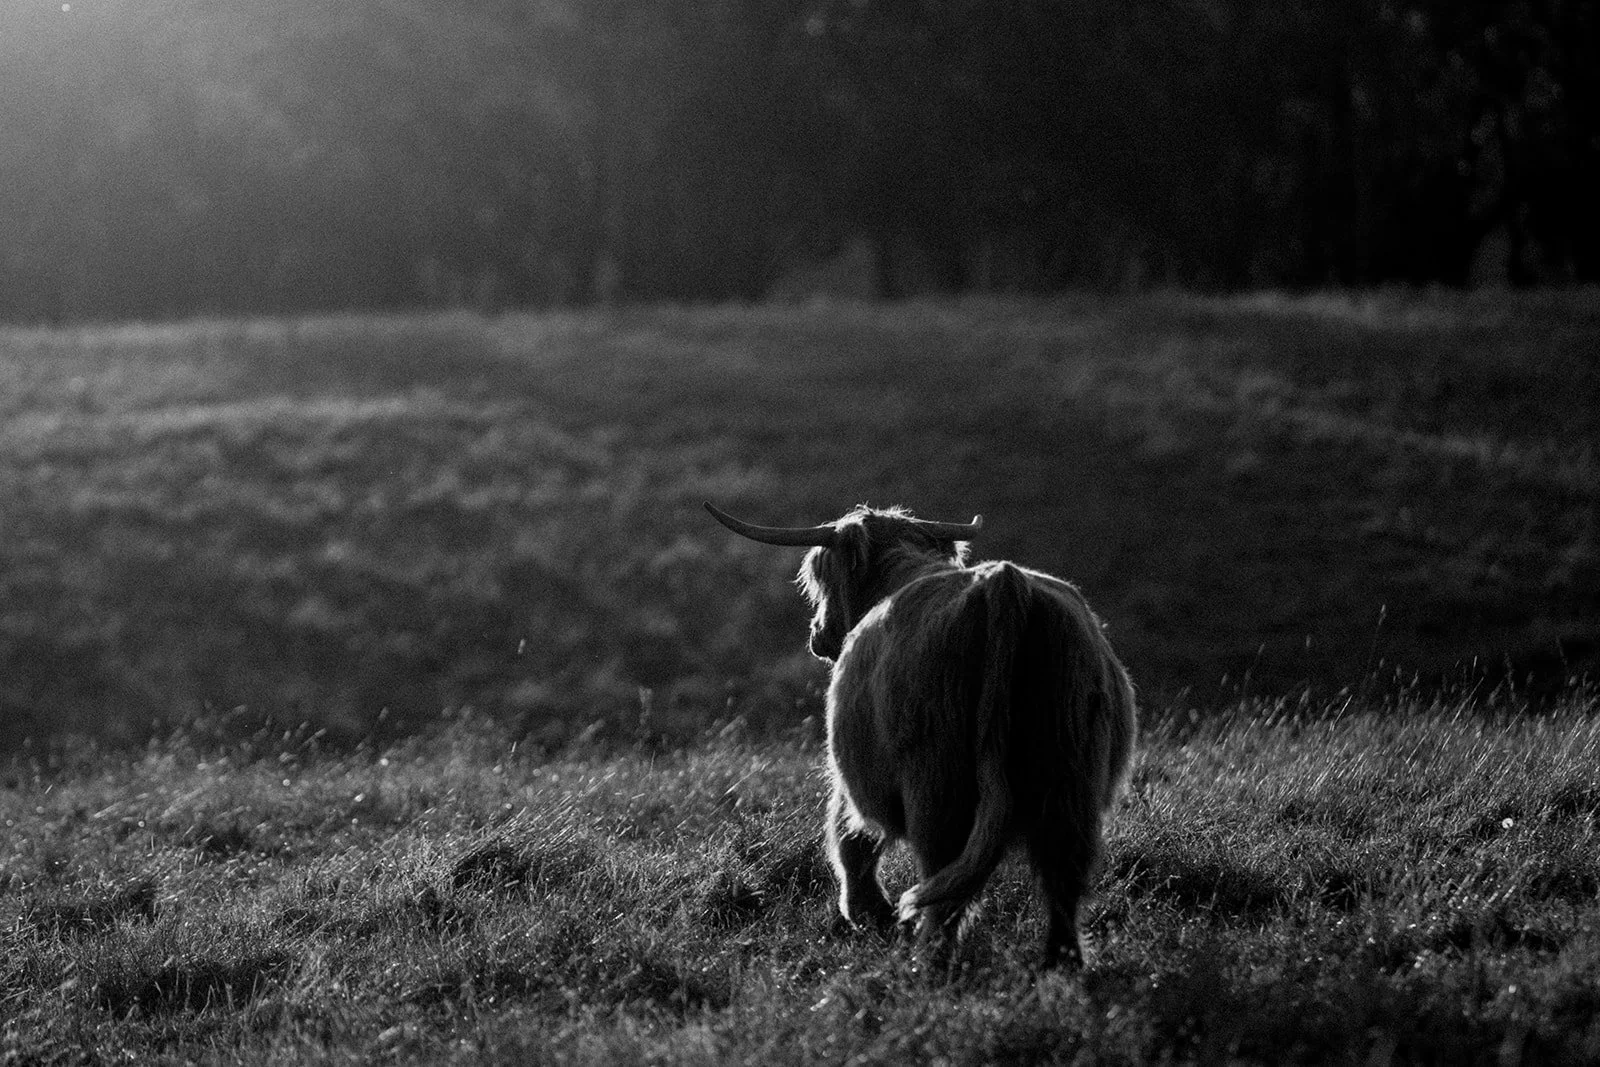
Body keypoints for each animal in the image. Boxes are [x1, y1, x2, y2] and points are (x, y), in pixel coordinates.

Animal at [706, 501, 1137, 968]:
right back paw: (1060, 963)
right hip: (1070, 777)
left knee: (941, 875)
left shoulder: (852, 776)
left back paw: (927, 958)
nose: (817, 633)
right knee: (1063, 873)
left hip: (935, 783)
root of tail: (1003, 583)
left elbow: (848, 838)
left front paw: (868, 913)